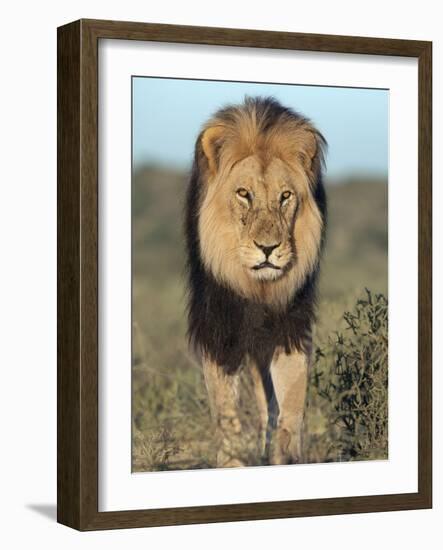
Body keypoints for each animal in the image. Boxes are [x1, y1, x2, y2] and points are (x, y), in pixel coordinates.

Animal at [184, 97, 326, 468]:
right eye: (243, 194)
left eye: (285, 196)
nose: (268, 248)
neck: (257, 287)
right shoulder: (219, 327)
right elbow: (226, 409)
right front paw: (232, 462)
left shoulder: (291, 325)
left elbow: (290, 402)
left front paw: (287, 458)